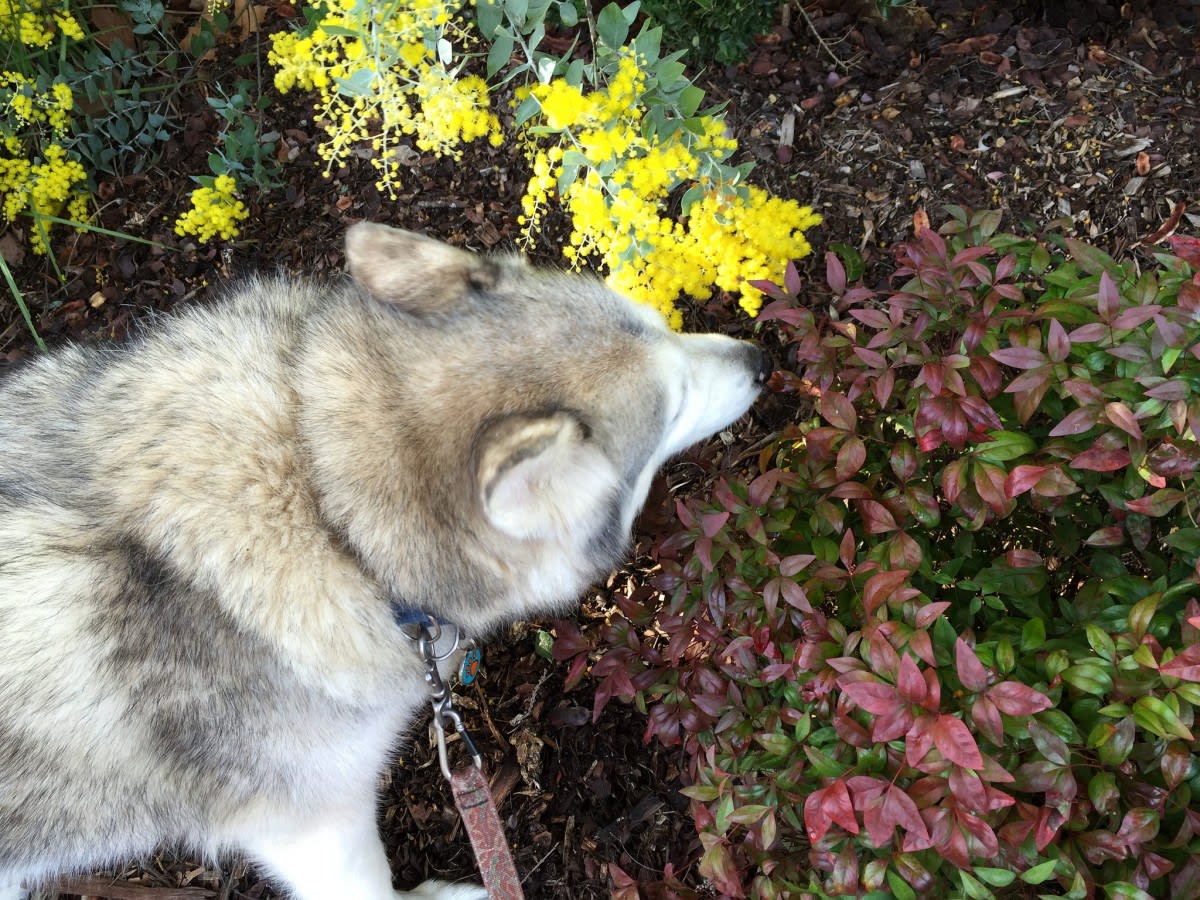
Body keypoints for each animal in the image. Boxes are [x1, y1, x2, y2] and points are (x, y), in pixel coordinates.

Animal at [0, 222, 770, 900]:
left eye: (661, 321)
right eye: (675, 407)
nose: (761, 359)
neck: (327, 506)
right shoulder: (311, 825)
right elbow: (367, 884)